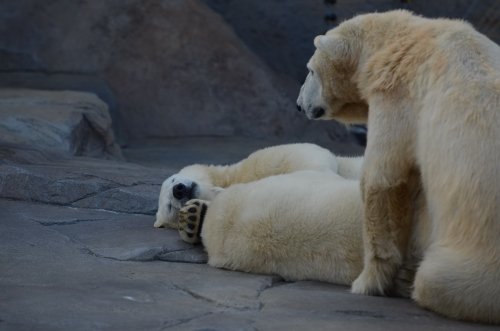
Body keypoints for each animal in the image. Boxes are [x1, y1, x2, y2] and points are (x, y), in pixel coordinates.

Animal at [154, 144, 428, 292]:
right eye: (169, 206)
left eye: (171, 181)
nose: (179, 190)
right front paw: (193, 218)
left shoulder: (263, 161)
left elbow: (313, 157)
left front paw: (194, 214)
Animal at [298, 9, 498, 324]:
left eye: (310, 71)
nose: (298, 104)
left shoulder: (399, 95)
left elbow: (384, 180)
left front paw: (368, 281)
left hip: (477, 254)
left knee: (437, 279)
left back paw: (411, 278)